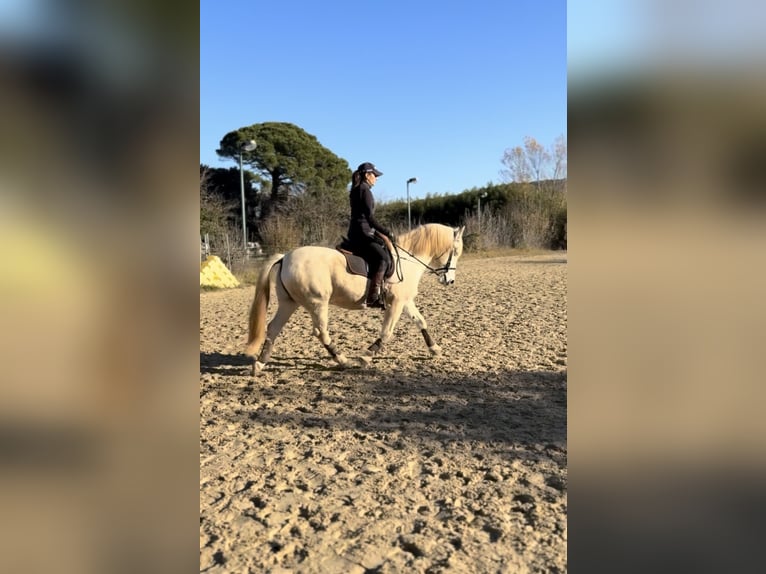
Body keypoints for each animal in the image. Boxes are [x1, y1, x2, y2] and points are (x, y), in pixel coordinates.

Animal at [244, 223, 465, 373]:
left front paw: (435, 349)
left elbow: (421, 322)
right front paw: (366, 357)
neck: (408, 260)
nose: (450, 281)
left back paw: (260, 364)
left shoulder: (405, 301)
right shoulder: (397, 303)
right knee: (321, 332)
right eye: (454, 251)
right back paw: (342, 360)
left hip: (289, 303)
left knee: (273, 328)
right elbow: (387, 332)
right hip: (317, 303)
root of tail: (284, 257)